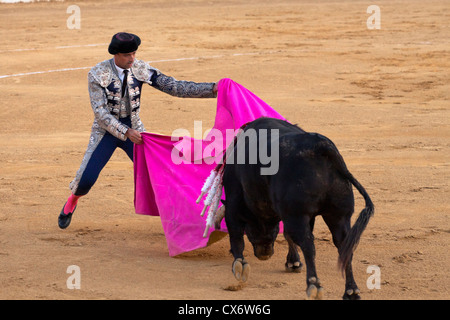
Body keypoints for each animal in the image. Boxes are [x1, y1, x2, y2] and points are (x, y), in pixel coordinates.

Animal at [220, 117, 374, 300]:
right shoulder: (301, 215)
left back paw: (314, 285)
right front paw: (293, 262)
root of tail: (321, 146)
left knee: (308, 244)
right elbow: (287, 234)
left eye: (250, 232)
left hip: (298, 216)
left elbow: (236, 234)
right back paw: (351, 290)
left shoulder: (233, 200)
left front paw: (239, 265)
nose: (264, 254)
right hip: (339, 216)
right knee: (344, 245)